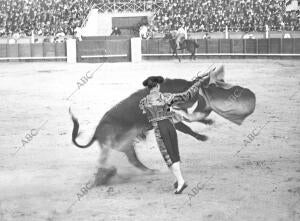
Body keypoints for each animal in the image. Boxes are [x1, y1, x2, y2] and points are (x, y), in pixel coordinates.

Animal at [69, 67, 255, 171]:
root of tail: (96, 132)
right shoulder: (173, 119)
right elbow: (187, 128)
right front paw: (202, 137)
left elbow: (191, 120)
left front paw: (208, 122)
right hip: (121, 144)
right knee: (129, 159)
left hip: (127, 145)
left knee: (133, 160)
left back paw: (149, 171)